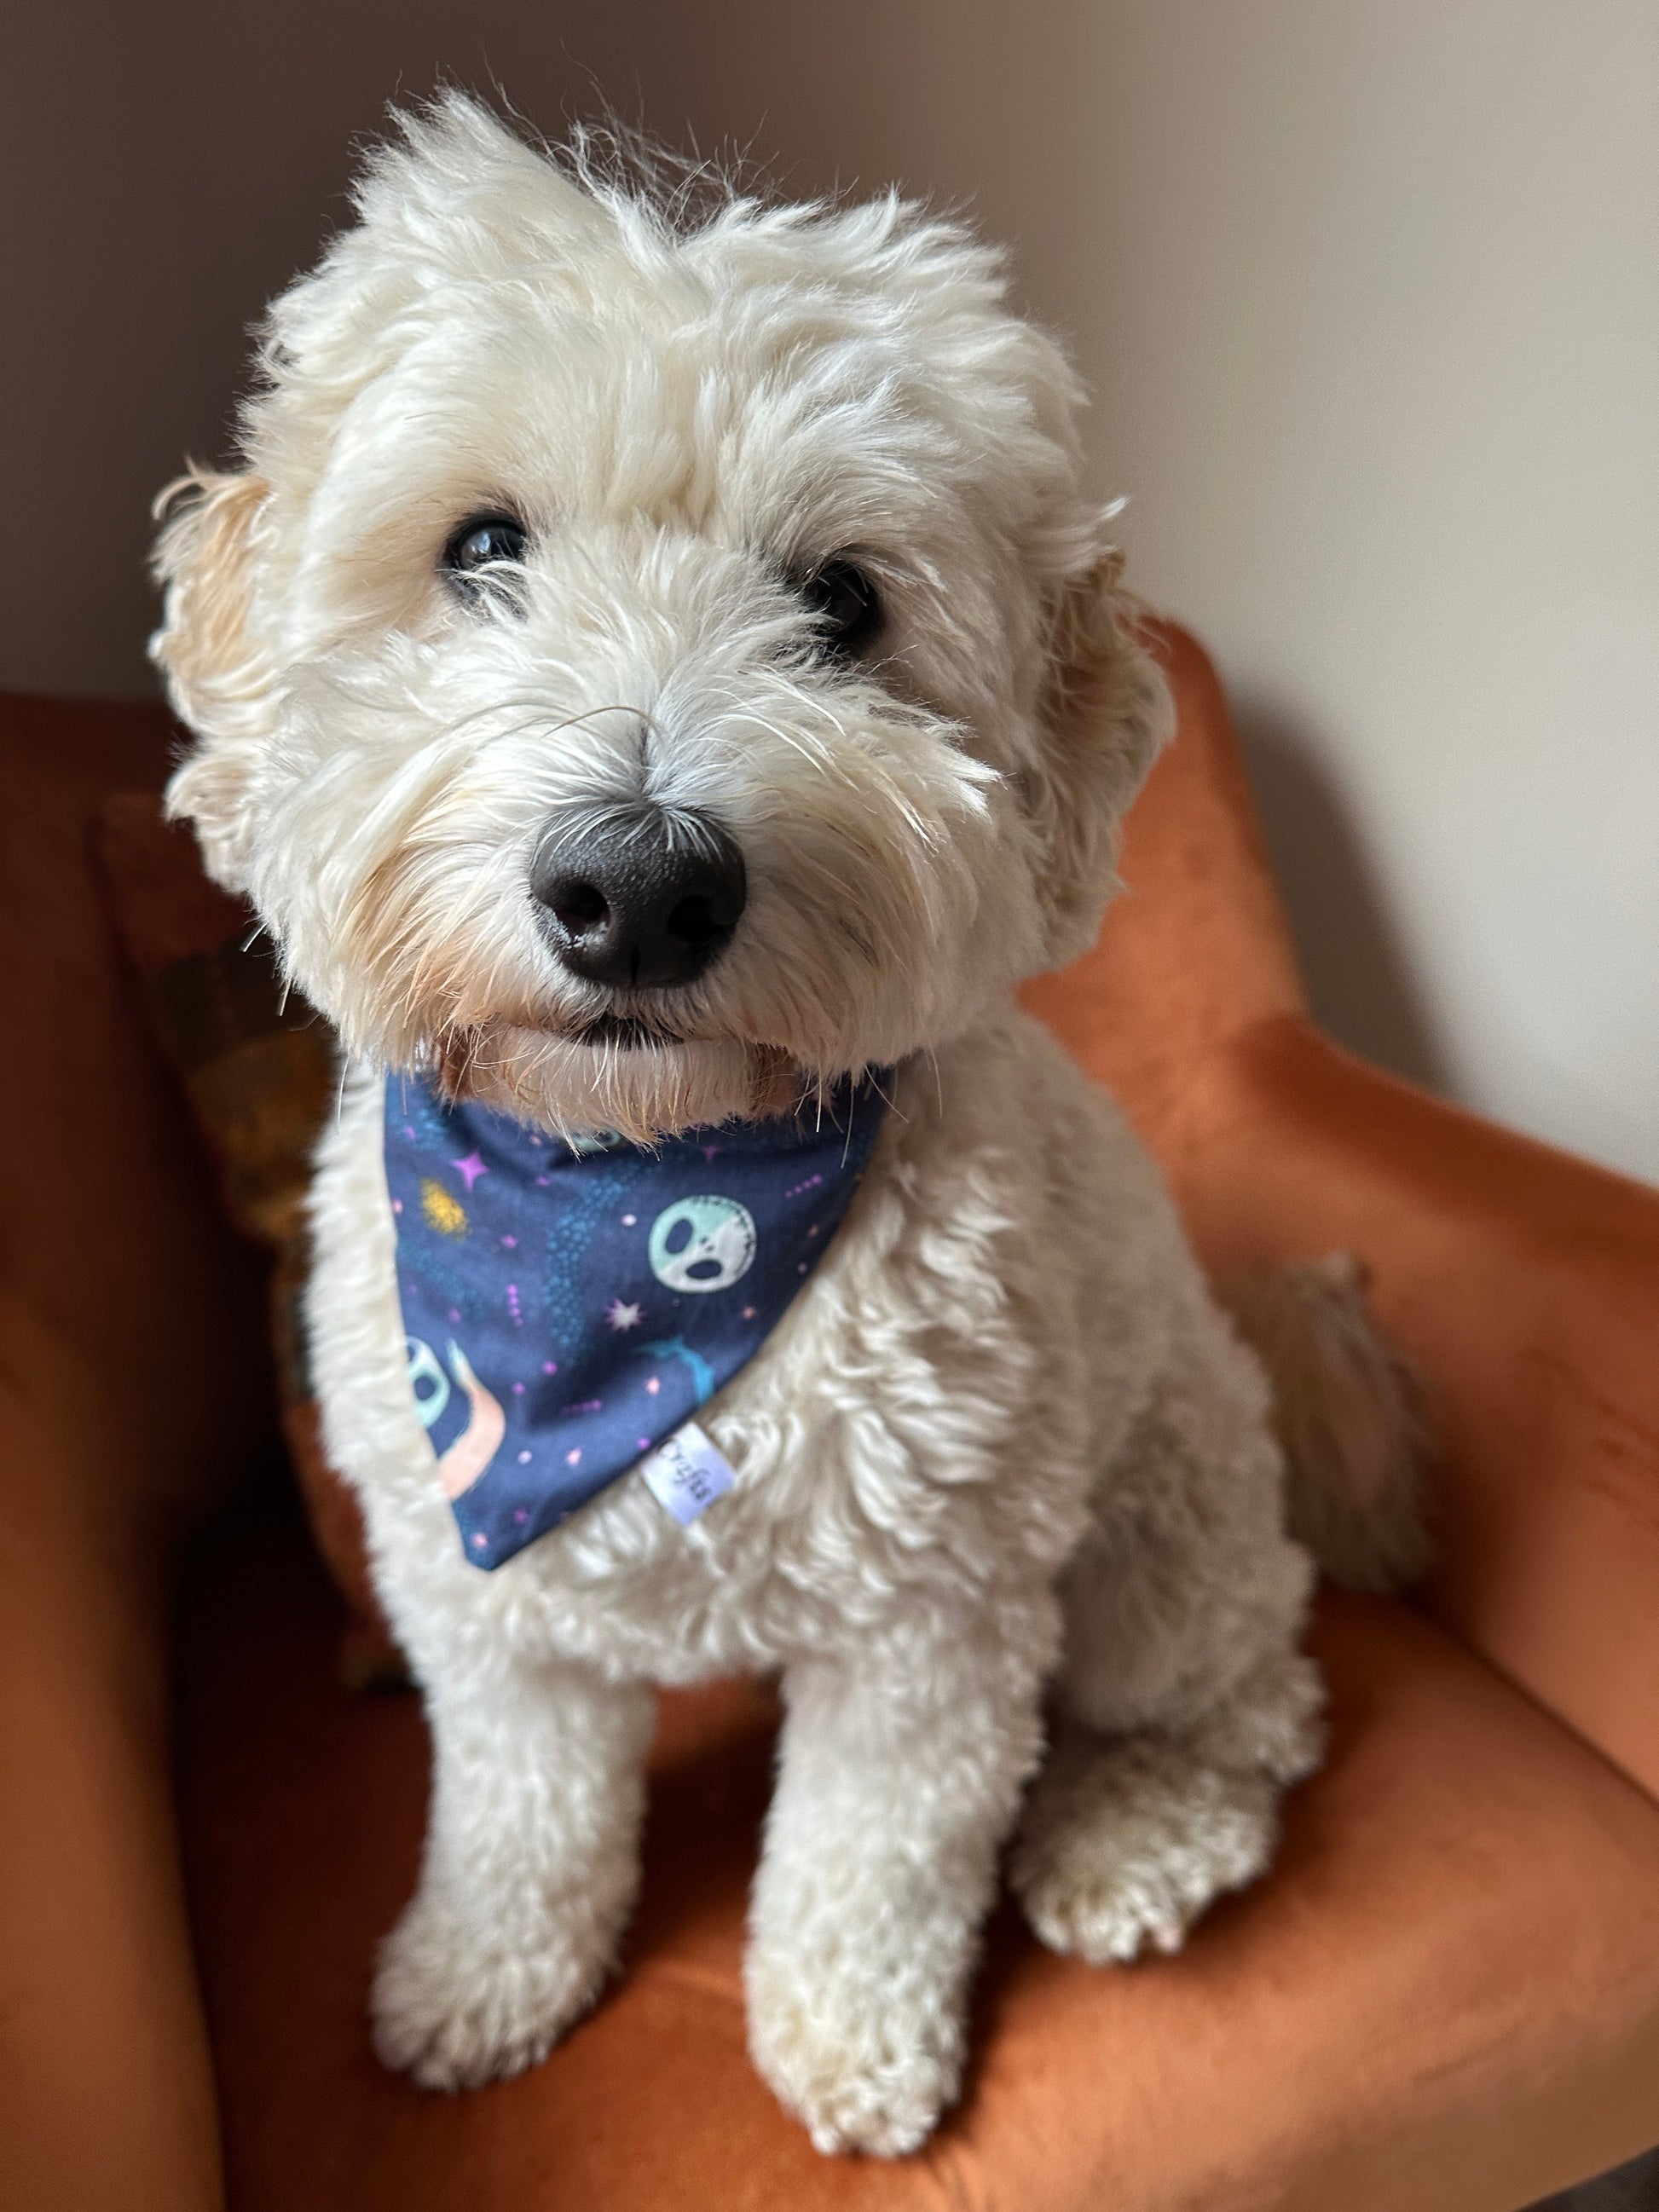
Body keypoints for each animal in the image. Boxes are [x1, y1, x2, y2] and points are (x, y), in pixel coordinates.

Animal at [153, 103, 1415, 2158]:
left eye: (844, 603)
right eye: (480, 547)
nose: (637, 885)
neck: (640, 1200)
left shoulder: (930, 1624)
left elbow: (873, 1856)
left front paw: (849, 2042)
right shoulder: (480, 1609)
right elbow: (513, 1816)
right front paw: (479, 1975)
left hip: (1151, 1528)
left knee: (1252, 1699)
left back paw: (1132, 1830)